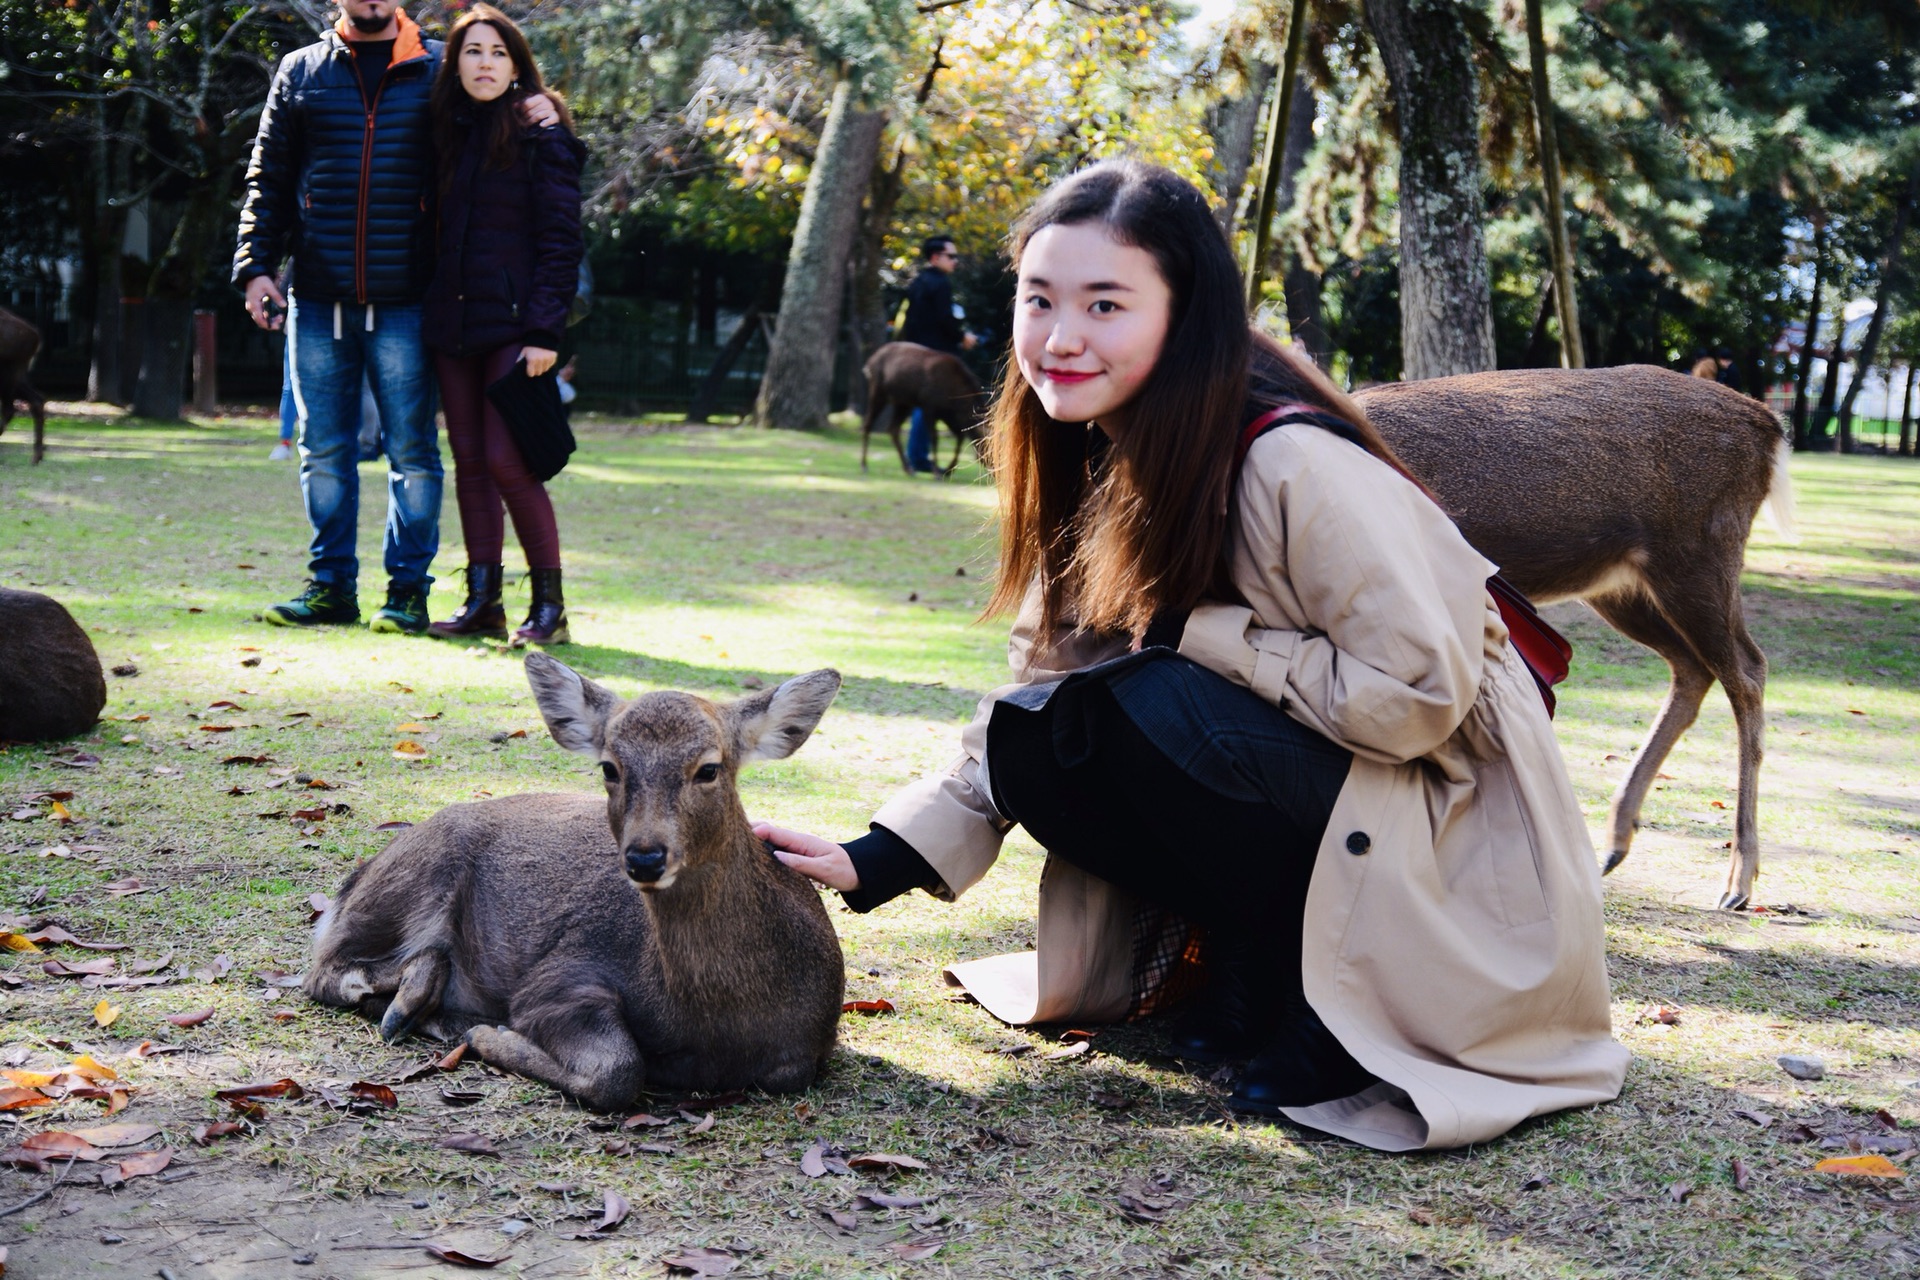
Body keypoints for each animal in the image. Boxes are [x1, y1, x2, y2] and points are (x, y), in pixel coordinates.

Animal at [0, 305, 48, 466]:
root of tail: (36, 336)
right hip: (15, 378)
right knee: (37, 400)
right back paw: (37, 457)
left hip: (9, 375)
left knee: (10, 409)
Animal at [307, 656, 848, 1105]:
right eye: (609, 766)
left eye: (710, 768)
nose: (645, 857)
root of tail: (352, 883)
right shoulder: (560, 976)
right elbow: (619, 1071)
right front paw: (492, 1036)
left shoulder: (802, 1056)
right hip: (410, 878)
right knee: (325, 970)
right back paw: (417, 1005)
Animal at [867, 337, 990, 477]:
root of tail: (869, 362)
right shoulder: (929, 406)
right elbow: (934, 438)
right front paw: (937, 472)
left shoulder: (947, 414)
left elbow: (959, 436)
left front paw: (948, 470)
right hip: (878, 390)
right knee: (868, 424)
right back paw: (864, 465)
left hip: (903, 402)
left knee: (893, 429)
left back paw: (908, 468)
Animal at [1359, 364, 1789, 917]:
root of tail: (1770, 426)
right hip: (1620, 585)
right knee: (1693, 668)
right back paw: (1615, 843)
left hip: (1701, 550)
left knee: (1747, 670)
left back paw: (1738, 879)